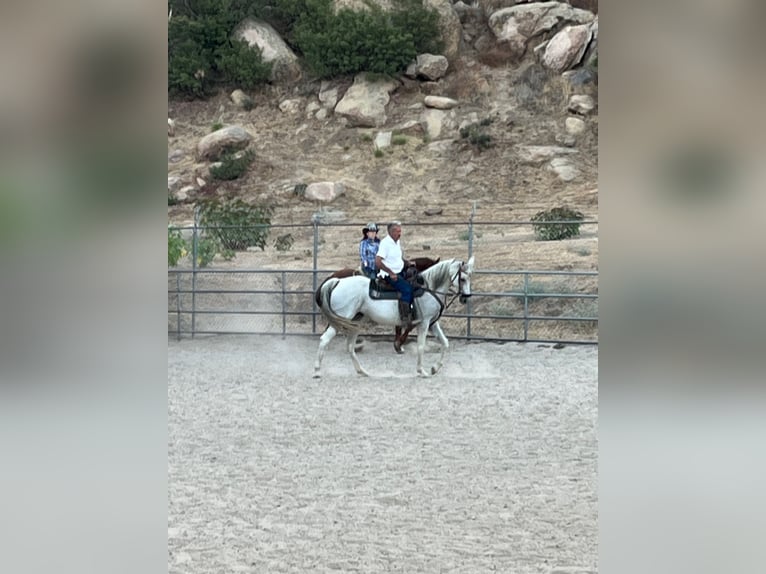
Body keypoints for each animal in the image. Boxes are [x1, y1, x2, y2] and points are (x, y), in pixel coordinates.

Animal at [312, 257, 475, 378]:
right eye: (462, 279)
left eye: (469, 277)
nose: (466, 298)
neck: (428, 289)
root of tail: (337, 281)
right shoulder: (424, 323)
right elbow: (420, 345)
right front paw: (421, 370)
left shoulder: (432, 323)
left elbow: (445, 343)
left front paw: (435, 368)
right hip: (342, 318)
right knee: (324, 339)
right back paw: (317, 371)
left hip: (354, 321)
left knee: (350, 346)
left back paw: (362, 371)